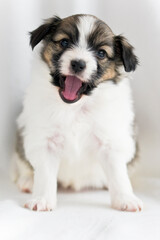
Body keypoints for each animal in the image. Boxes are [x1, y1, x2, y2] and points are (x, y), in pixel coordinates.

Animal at [11, 14, 143, 211]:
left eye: (101, 53)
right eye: (64, 42)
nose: (78, 64)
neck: (75, 107)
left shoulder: (111, 141)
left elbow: (119, 175)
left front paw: (126, 199)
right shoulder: (44, 142)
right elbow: (45, 175)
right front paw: (42, 199)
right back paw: (27, 180)